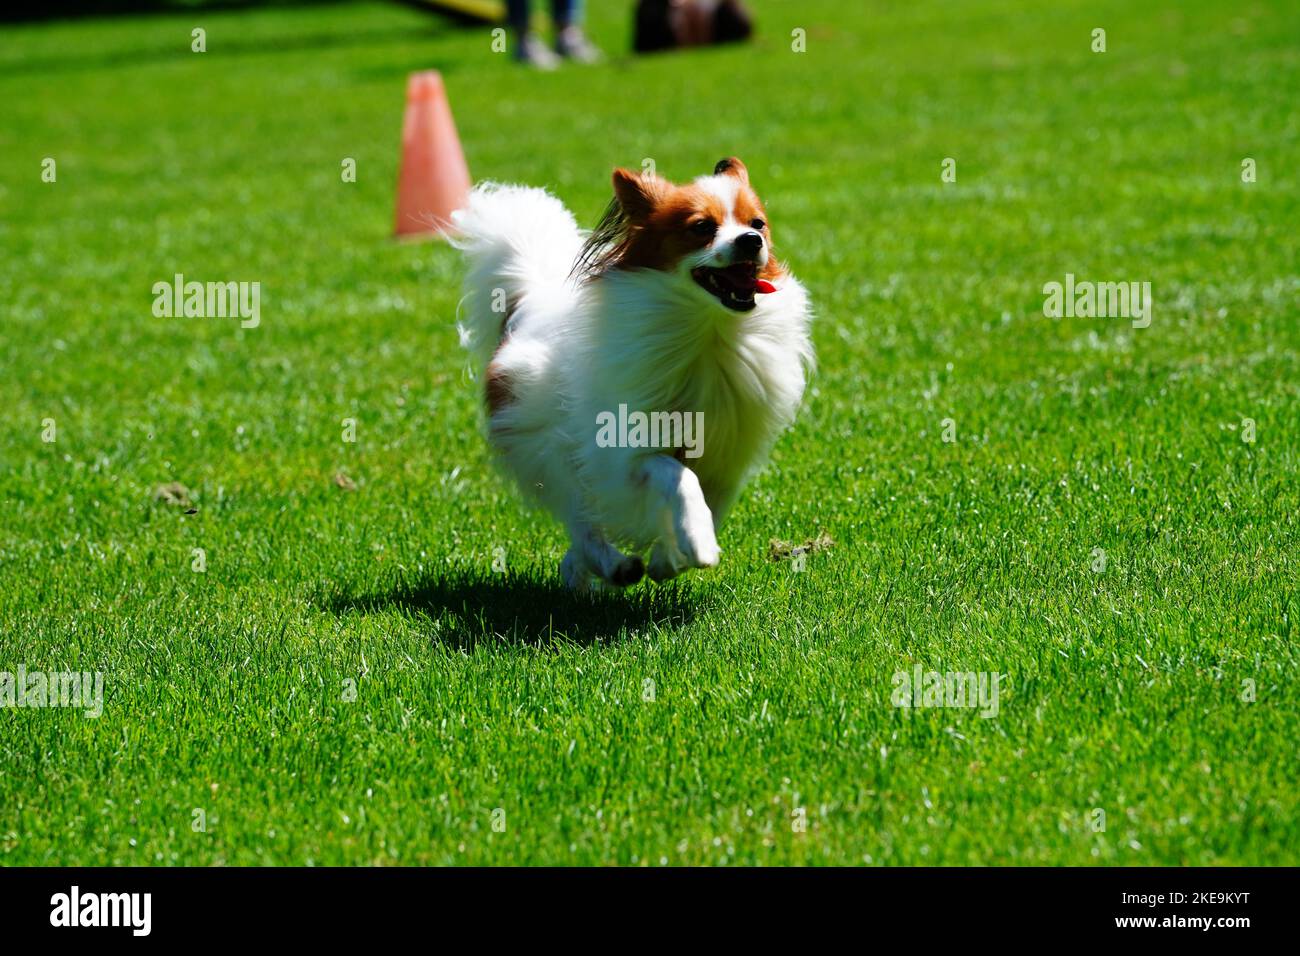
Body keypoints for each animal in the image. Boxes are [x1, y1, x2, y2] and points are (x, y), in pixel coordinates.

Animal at [452, 158, 806, 590]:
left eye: (757, 223)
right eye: (702, 227)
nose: (752, 240)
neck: (708, 333)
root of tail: (531, 301)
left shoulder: (726, 462)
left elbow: (711, 503)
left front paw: (670, 557)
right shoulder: (625, 456)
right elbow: (678, 478)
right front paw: (698, 545)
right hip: (550, 448)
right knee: (582, 522)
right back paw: (611, 565)